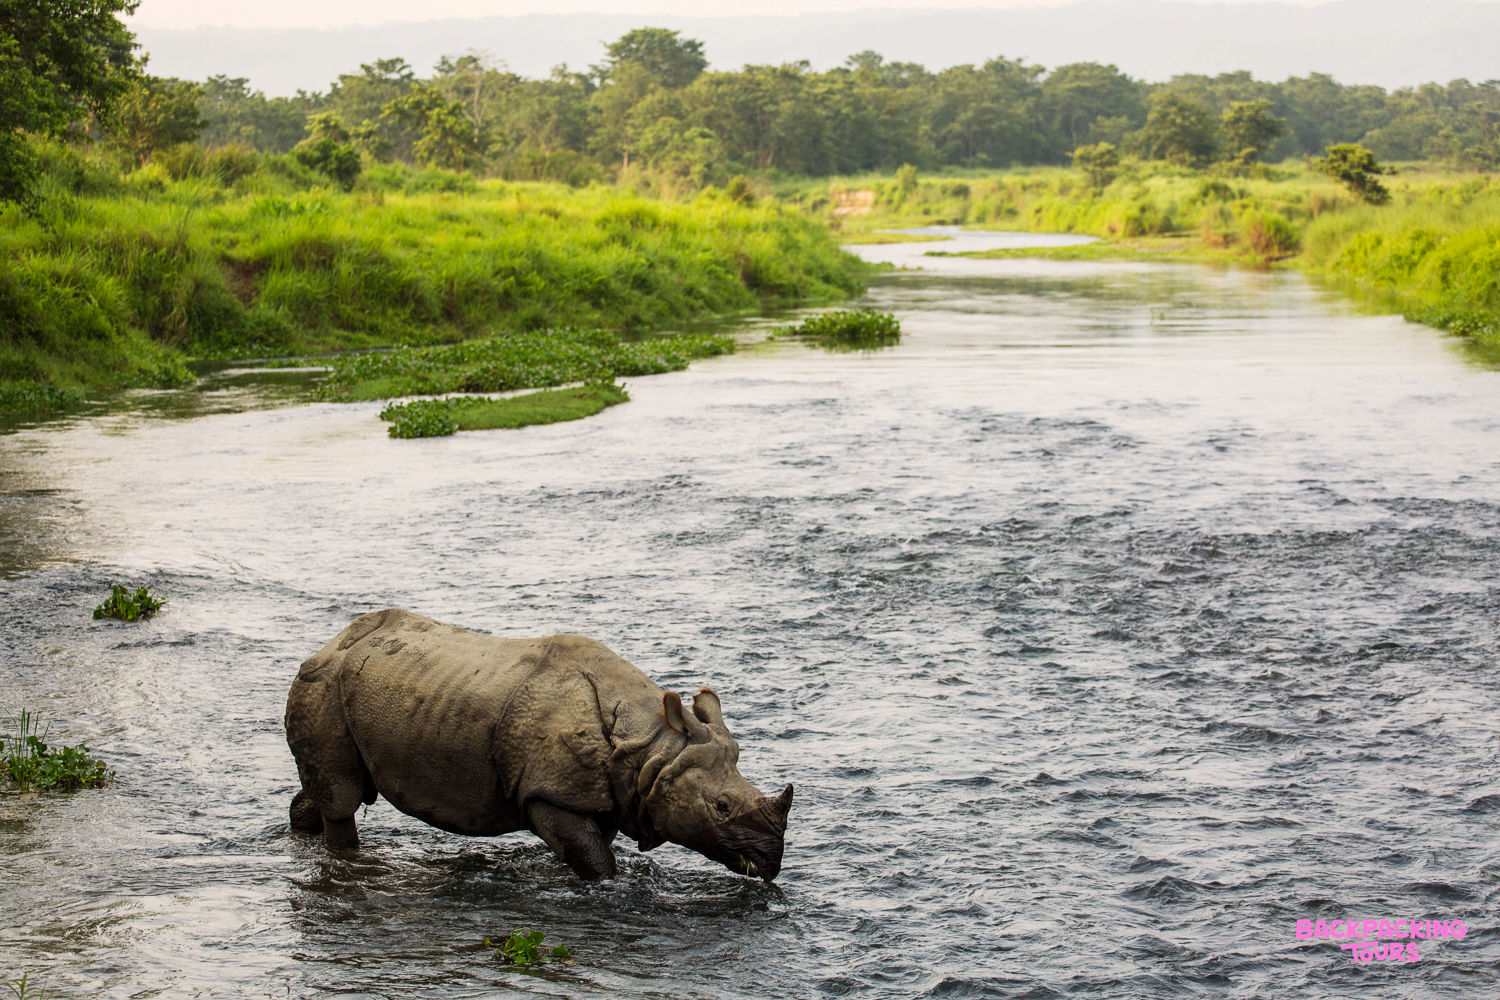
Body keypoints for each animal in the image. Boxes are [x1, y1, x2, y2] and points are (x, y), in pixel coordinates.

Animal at [284, 609, 792, 881]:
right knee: (342, 795)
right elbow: (598, 860)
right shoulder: (548, 792)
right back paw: (347, 856)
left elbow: (591, 846)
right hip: (325, 683)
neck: (650, 746)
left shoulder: (604, 793)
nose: (772, 863)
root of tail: (326, 645)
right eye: (720, 807)